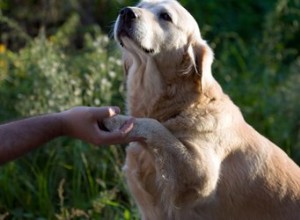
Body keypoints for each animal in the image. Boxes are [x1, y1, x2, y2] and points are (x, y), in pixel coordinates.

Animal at [104, 0, 300, 219]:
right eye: (140, 4)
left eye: (166, 16)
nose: (126, 12)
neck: (181, 106)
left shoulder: (200, 173)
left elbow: (155, 127)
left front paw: (116, 120)